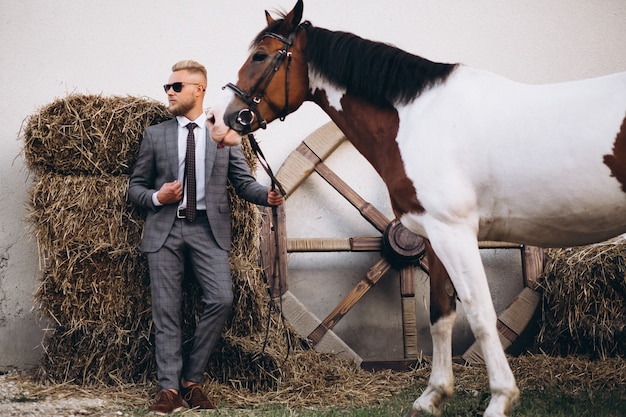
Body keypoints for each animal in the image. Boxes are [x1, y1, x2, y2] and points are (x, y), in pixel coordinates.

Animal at [208, 1, 624, 414]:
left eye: (261, 56)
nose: (220, 117)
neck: (418, 119)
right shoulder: (433, 235)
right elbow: (440, 312)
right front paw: (432, 396)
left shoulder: (455, 232)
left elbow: (480, 312)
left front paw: (500, 398)